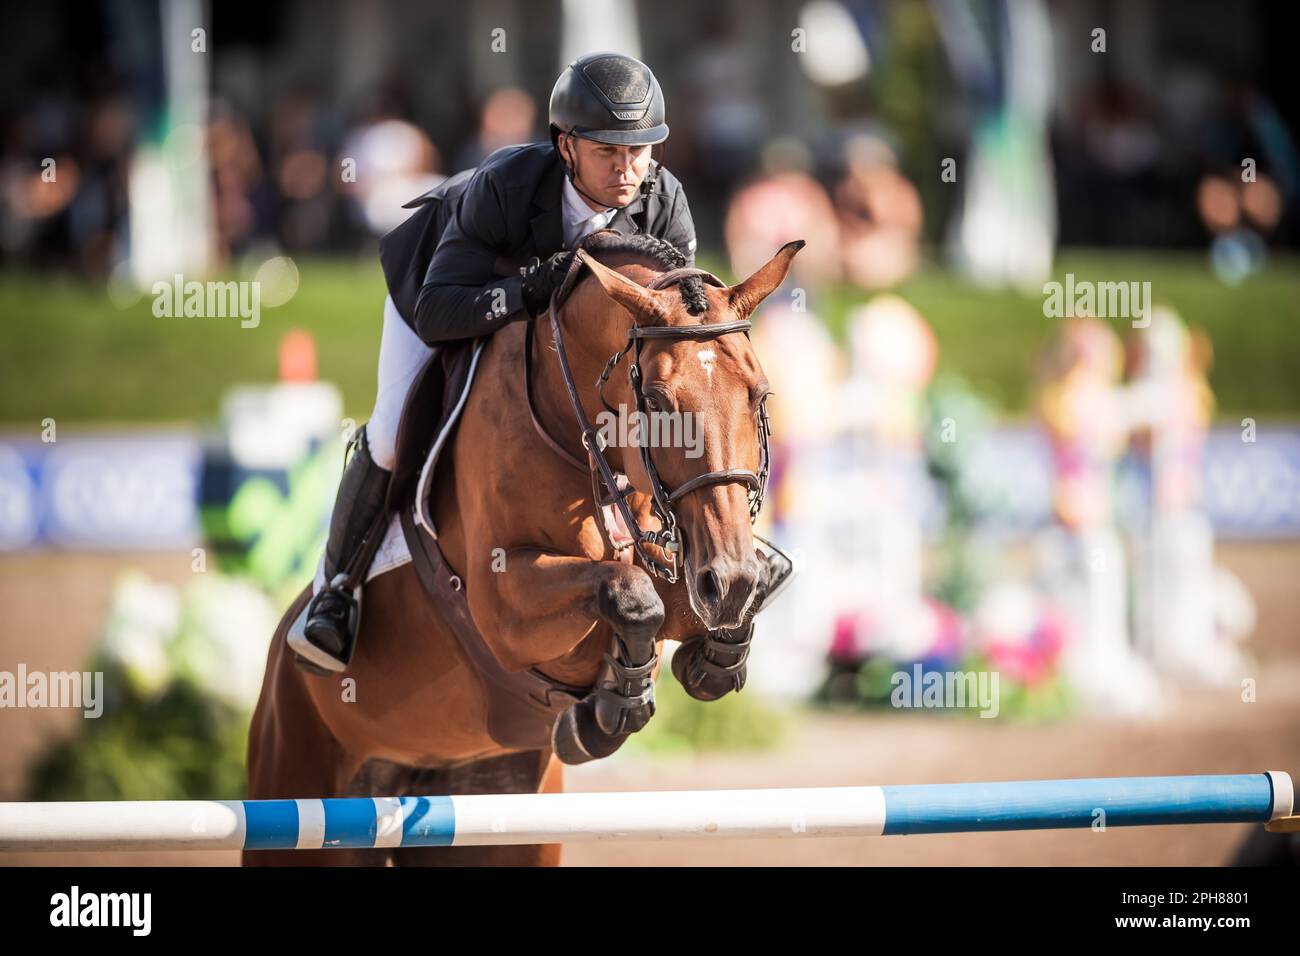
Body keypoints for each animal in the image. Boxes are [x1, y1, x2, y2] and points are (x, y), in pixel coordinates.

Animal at [244, 234, 800, 868]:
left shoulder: (683, 562)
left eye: (759, 392)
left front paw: (707, 657)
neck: (574, 431)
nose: (727, 583)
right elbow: (629, 594)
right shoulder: (504, 610)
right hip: (297, 777)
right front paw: (609, 712)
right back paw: (326, 625)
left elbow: (708, 595)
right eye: (657, 401)